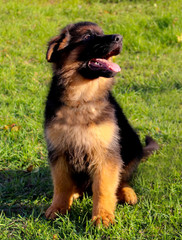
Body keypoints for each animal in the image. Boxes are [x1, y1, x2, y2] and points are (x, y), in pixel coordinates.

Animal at [44, 21, 158, 226]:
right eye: (88, 36)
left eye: (102, 33)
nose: (120, 38)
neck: (81, 97)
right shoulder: (59, 151)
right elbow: (61, 184)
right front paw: (58, 208)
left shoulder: (106, 154)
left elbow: (104, 188)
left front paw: (102, 216)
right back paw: (74, 194)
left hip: (132, 148)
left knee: (123, 179)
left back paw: (127, 193)